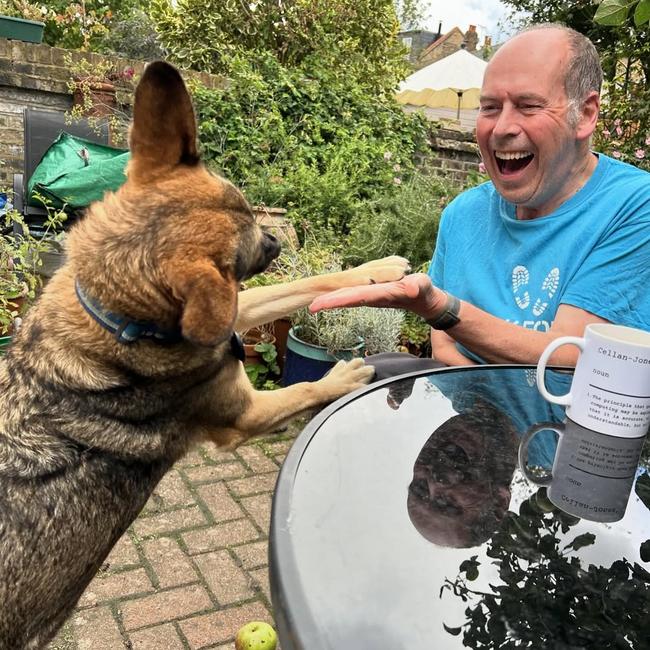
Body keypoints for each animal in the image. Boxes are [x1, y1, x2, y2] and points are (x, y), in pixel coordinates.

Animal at [0, 62, 404, 648]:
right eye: (248, 249)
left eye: (250, 210)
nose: (277, 243)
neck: (116, 319)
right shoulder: (243, 410)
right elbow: (306, 384)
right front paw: (345, 375)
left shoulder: (229, 309)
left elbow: (304, 284)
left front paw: (378, 271)